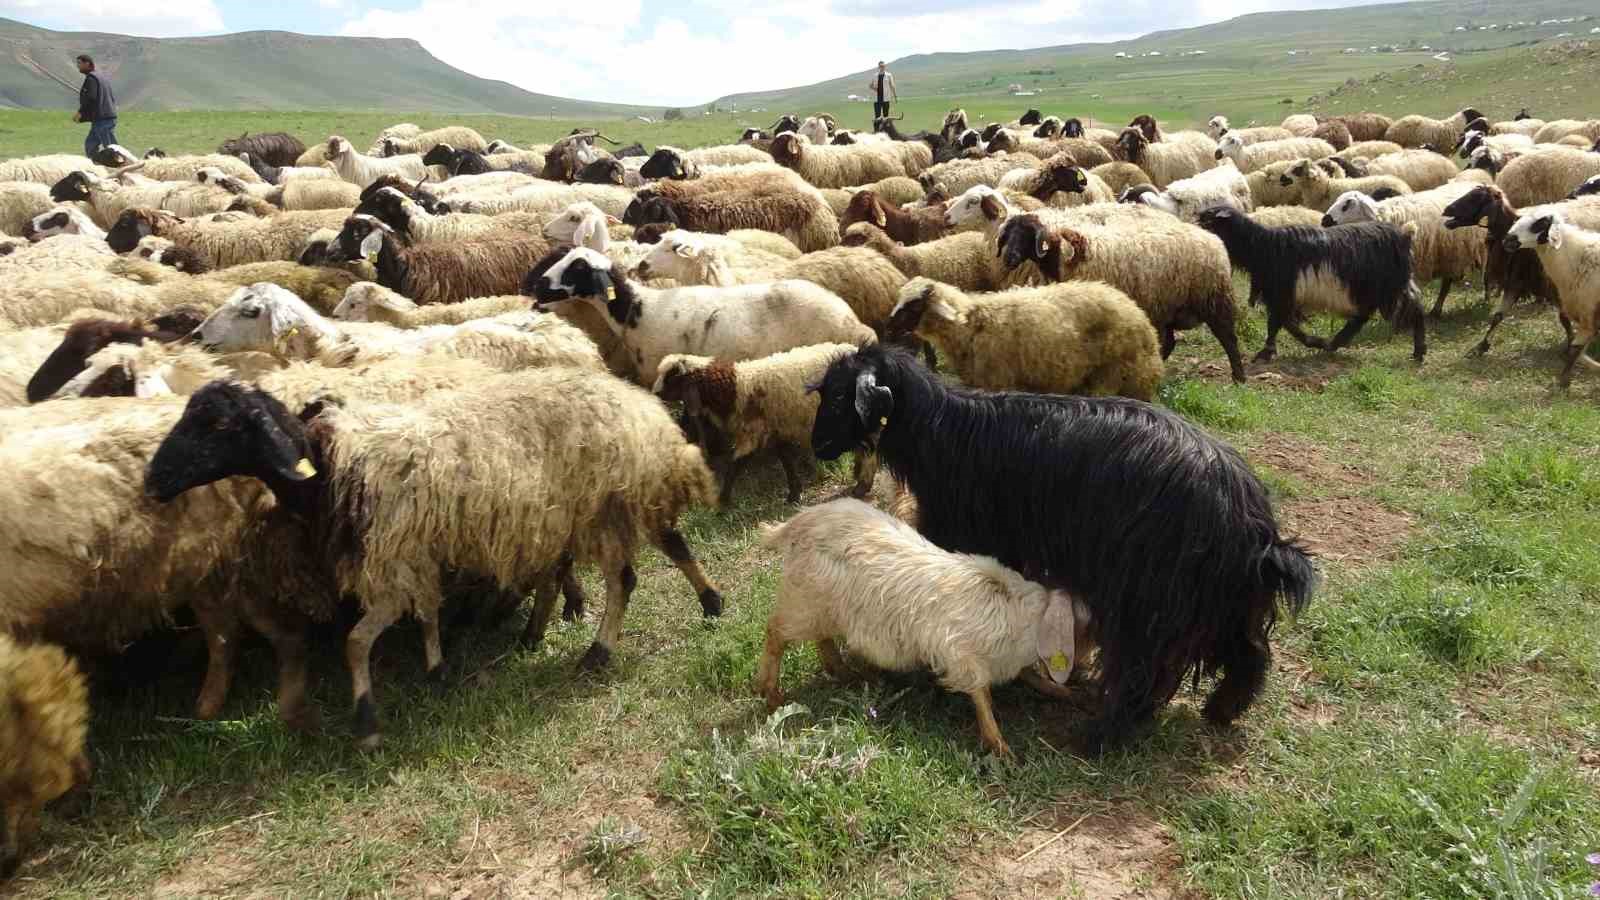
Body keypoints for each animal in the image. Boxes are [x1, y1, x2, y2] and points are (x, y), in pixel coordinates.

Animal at [806, 342, 1318, 749]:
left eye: (841, 395)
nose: (817, 447)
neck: (941, 431)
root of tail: (1254, 527)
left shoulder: (961, 532)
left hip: (1150, 597)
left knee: (1144, 671)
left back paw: (1099, 737)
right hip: (1222, 600)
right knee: (1250, 653)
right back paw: (1221, 711)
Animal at [1196, 204, 1433, 361]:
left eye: (1209, 221)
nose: (1199, 238)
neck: (1263, 247)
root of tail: (1405, 234)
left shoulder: (1281, 293)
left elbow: (1278, 324)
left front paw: (1267, 352)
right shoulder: (1282, 296)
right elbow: (1286, 324)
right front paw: (1311, 342)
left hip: (1386, 286)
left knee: (1411, 310)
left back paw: (1418, 351)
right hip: (1381, 287)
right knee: (1366, 316)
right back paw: (1335, 343)